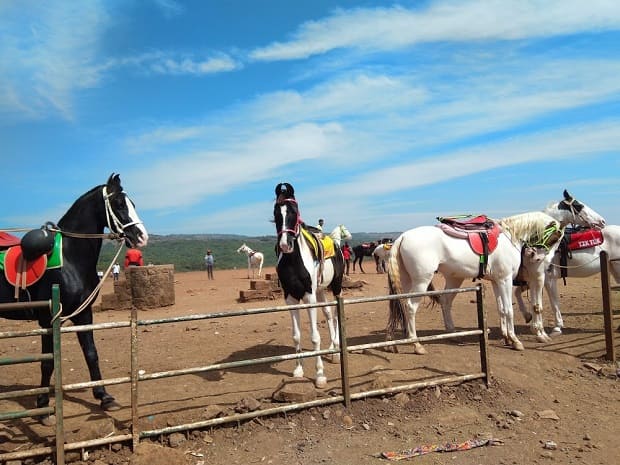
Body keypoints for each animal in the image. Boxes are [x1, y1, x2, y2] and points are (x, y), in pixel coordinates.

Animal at [0, 173, 148, 414]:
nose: (142, 236)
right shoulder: (48, 319)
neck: (70, 259)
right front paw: (42, 403)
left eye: (132, 204)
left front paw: (104, 396)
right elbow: (48, 361)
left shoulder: (83, 313)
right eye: (118, 204)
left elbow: (91, 353)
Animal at [386, 212, 564, 354]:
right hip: (422, 281)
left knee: (426, 303)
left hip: (416, 280)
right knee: (411, 307)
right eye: (555, 238)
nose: (536, 257)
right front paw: (515, 340)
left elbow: (501, 309)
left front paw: (507, 337)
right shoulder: (505, 280)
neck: (509, 237)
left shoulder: (497, 281)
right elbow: (509, 310)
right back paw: (416, 344)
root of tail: (403, 237)